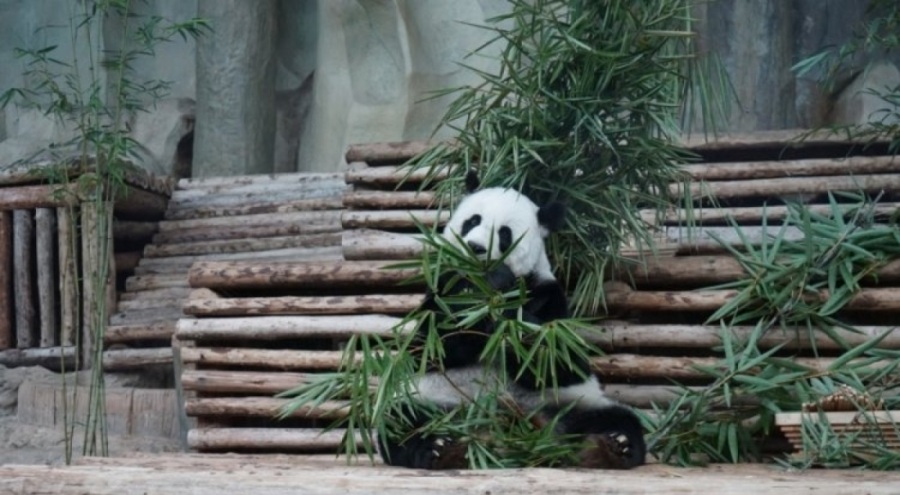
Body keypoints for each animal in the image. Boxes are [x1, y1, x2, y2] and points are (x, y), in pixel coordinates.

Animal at [378, 171, 646, 470]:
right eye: (473, 221)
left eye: (504, 234)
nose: (476, 247)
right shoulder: (440, 289)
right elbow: (431, 348)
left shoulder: (548, 295)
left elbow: (561, 359)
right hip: (435, 399)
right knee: (401, 421)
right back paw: (438, 448)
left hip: (572, 404)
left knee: (616, 419)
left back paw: (614, 446)